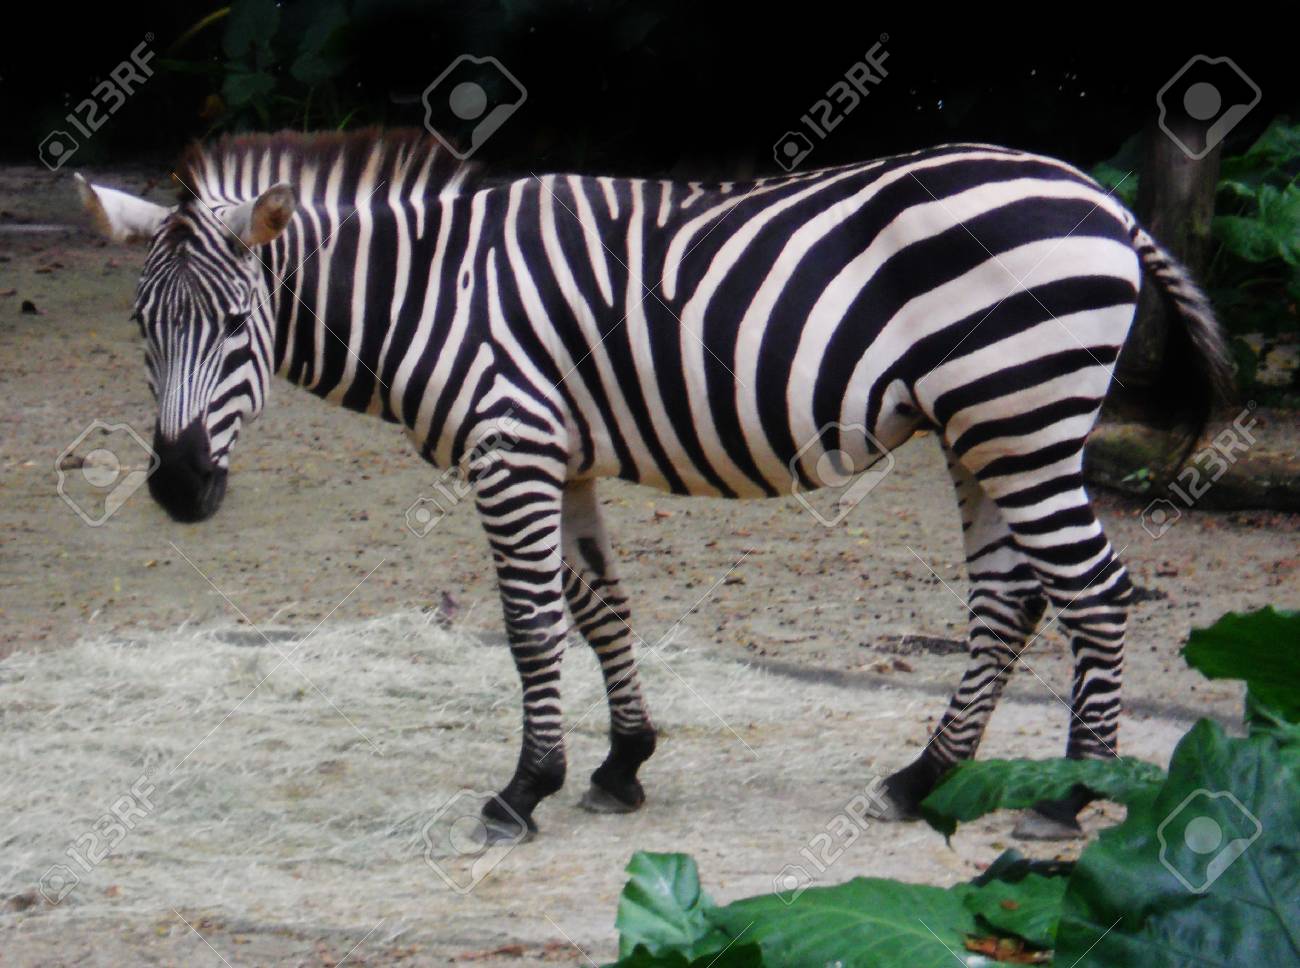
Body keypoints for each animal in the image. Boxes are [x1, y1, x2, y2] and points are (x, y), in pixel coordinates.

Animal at [76, 130, 1231, 843]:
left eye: (236, 325)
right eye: (139, 326)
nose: (178, 489)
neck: (435, 292)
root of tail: (1100, 199)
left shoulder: (509, 448)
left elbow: (531, 625)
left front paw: (522, 789)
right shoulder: (562, 452)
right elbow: (600, 607)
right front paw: (622, 763)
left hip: (1018, 412)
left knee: (1091, 594)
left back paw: (1072, 797)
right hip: (983, 426)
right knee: (1011, 598)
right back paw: (919, 780)